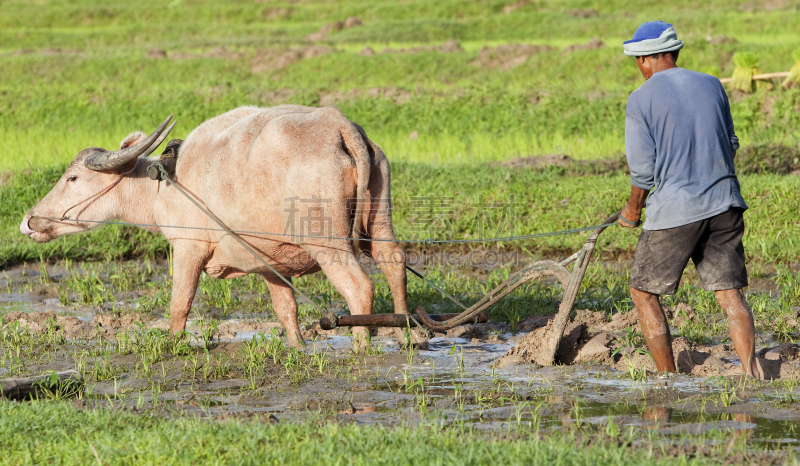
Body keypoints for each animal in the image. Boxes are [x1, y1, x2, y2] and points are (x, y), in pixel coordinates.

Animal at [21, 105, 410, 346]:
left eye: (72, 178)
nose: (29, 221)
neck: (165, 183)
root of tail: (341, 127)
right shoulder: (268, 261)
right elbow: (285, 308)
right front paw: (297, 346)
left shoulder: (187, 249)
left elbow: (179, 304)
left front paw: (173, 345)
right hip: (379, 222)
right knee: (393, 261)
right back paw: (408, 333)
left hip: (326, 242)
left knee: (359, 286)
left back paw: (362, 346)